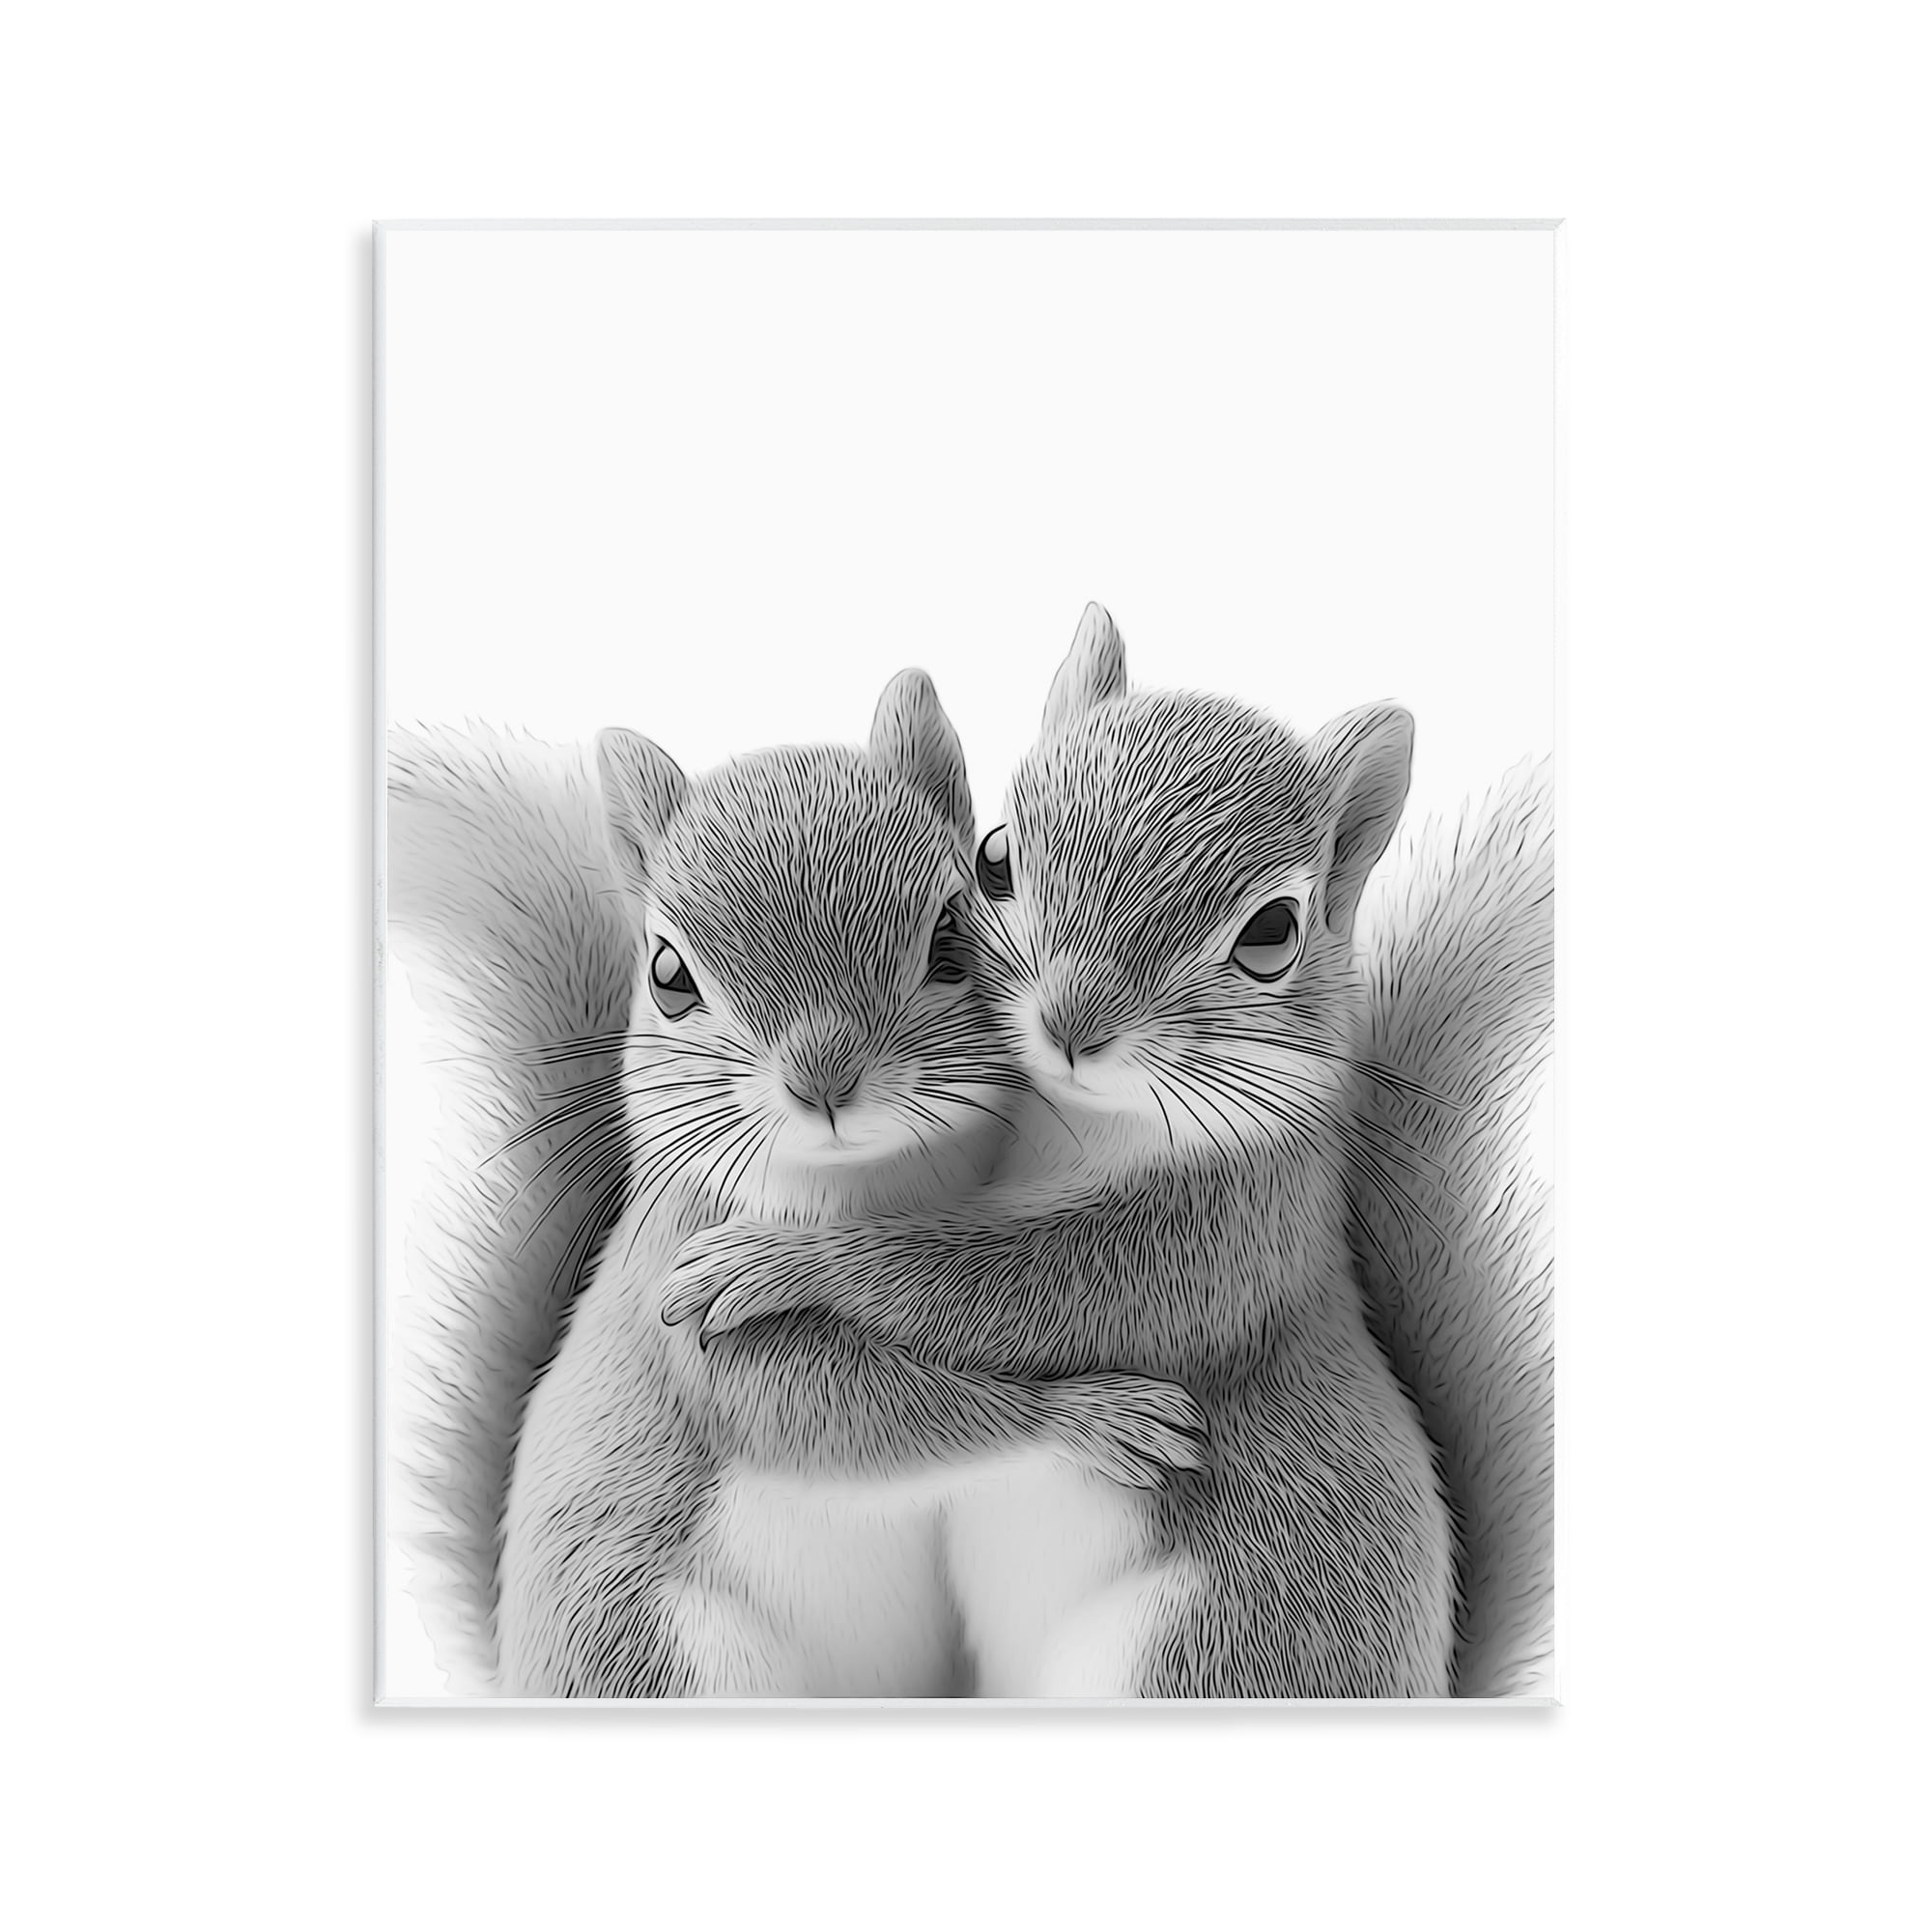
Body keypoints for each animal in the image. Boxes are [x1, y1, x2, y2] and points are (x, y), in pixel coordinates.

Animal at [389, 674, 1208, 1696]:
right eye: (667, 974)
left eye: (953, 931)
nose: (825, 1079)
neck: (868, 1182)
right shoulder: (680, 1290)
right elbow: (811, 1408)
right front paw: (1092, 1416)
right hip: (670, 1658)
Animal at [660, 604, 1462, 1696]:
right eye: (995, 857)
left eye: (1271, 932)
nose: (1072, 1023)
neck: (1070, 1124)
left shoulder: (1224, 1236)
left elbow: (1014, 1288)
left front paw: (773, 1259)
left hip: (1194, 1654)